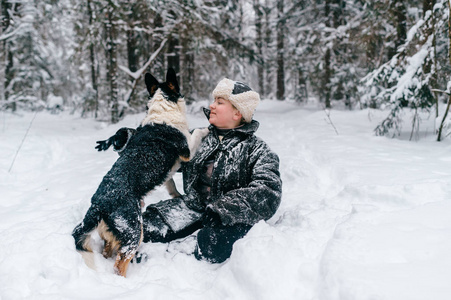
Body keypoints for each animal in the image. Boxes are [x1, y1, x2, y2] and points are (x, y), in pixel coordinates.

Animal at [73, 68, 210, 276]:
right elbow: (196, 133)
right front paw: (206, 128)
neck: (163, 109)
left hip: (114, 234)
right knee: (119, 264)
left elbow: (171, 184)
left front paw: (177, 195)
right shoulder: (186, 150)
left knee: (108, 251)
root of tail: (98, 204)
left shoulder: (169, 171)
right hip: (133, 232)